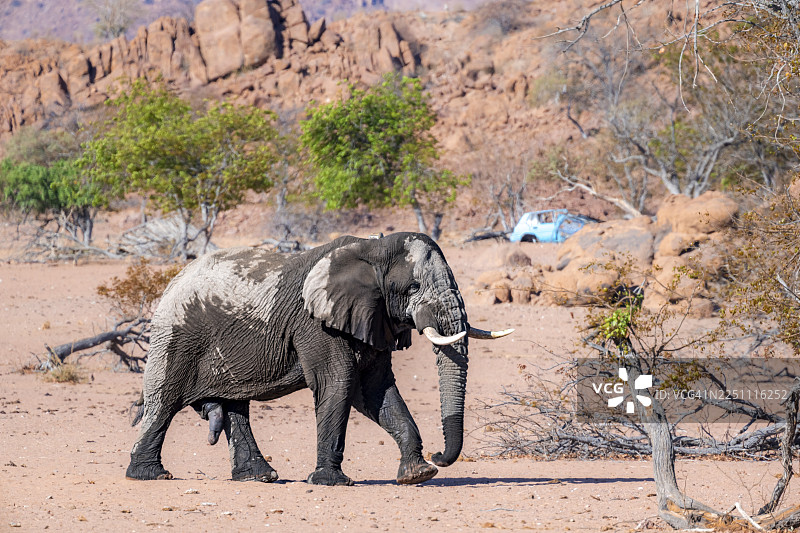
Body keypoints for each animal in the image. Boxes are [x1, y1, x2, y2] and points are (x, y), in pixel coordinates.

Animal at [126, 232, 512, 486]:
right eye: (413, 288)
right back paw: (150, 475)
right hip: (175, 335)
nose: (439, 456)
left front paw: (418, 474)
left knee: (235, 406)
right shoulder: (316, 323)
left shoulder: (371, 318)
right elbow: (339, 383)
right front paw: (330, 481)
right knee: (164, 402)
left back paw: (259, 477)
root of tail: (172, 280)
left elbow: (376, 391)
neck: (372, 248)